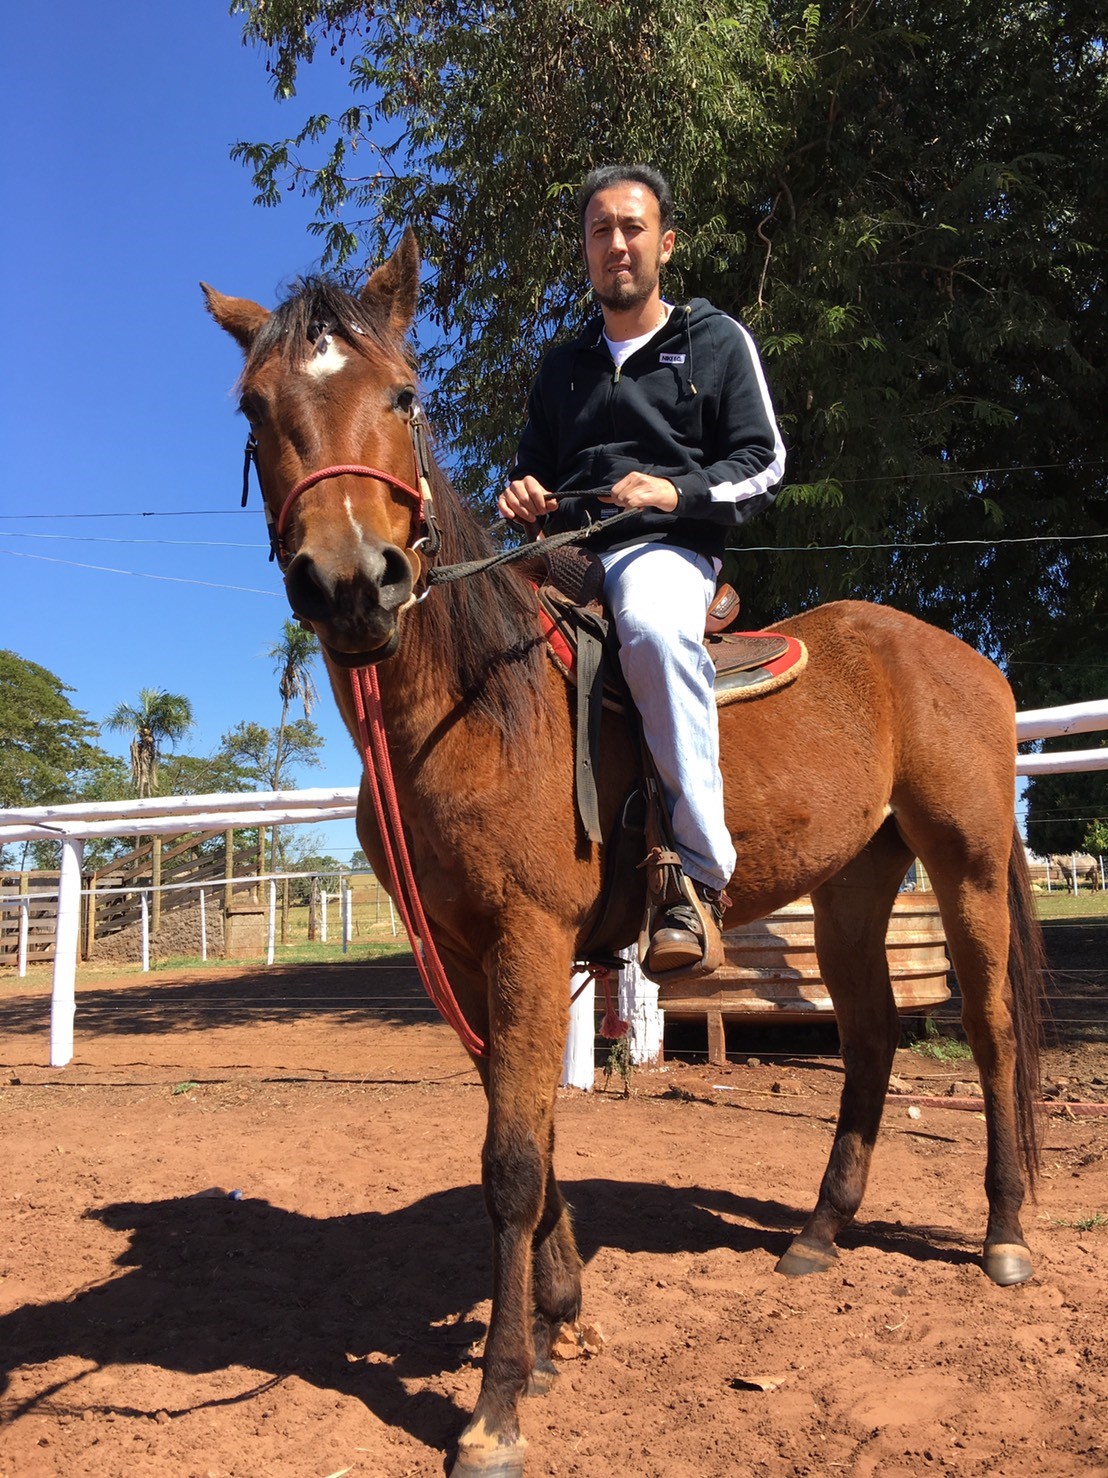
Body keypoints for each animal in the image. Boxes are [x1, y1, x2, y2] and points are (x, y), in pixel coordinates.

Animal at [203, 224, 1045, 1472]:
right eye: (256, 408)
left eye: (403, 395)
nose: (351, 580)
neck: (476, 699)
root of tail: (959, 657)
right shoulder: (464, 954)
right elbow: (531, 1132)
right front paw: (558, 1318)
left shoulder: (527, 936)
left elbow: (510, 1161)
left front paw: (497, 1400)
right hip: (853, 883)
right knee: (872, 1036)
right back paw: (816, 1234)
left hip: (969, 861)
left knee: (987, 1033)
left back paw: (1001, 1233)